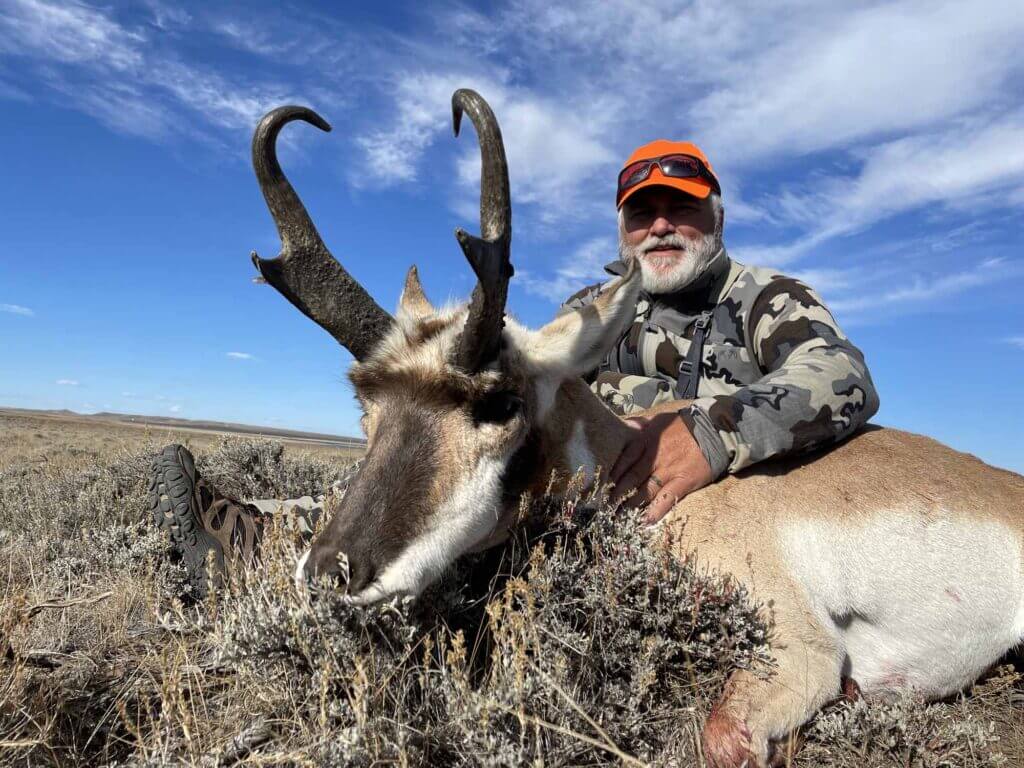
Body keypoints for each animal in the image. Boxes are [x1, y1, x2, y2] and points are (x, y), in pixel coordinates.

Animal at [249, 91, 1024, 768]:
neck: (633, 462)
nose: (330, 572)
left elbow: (722, 736)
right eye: (365, 403)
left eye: (500, 403)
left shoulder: (801, 653)